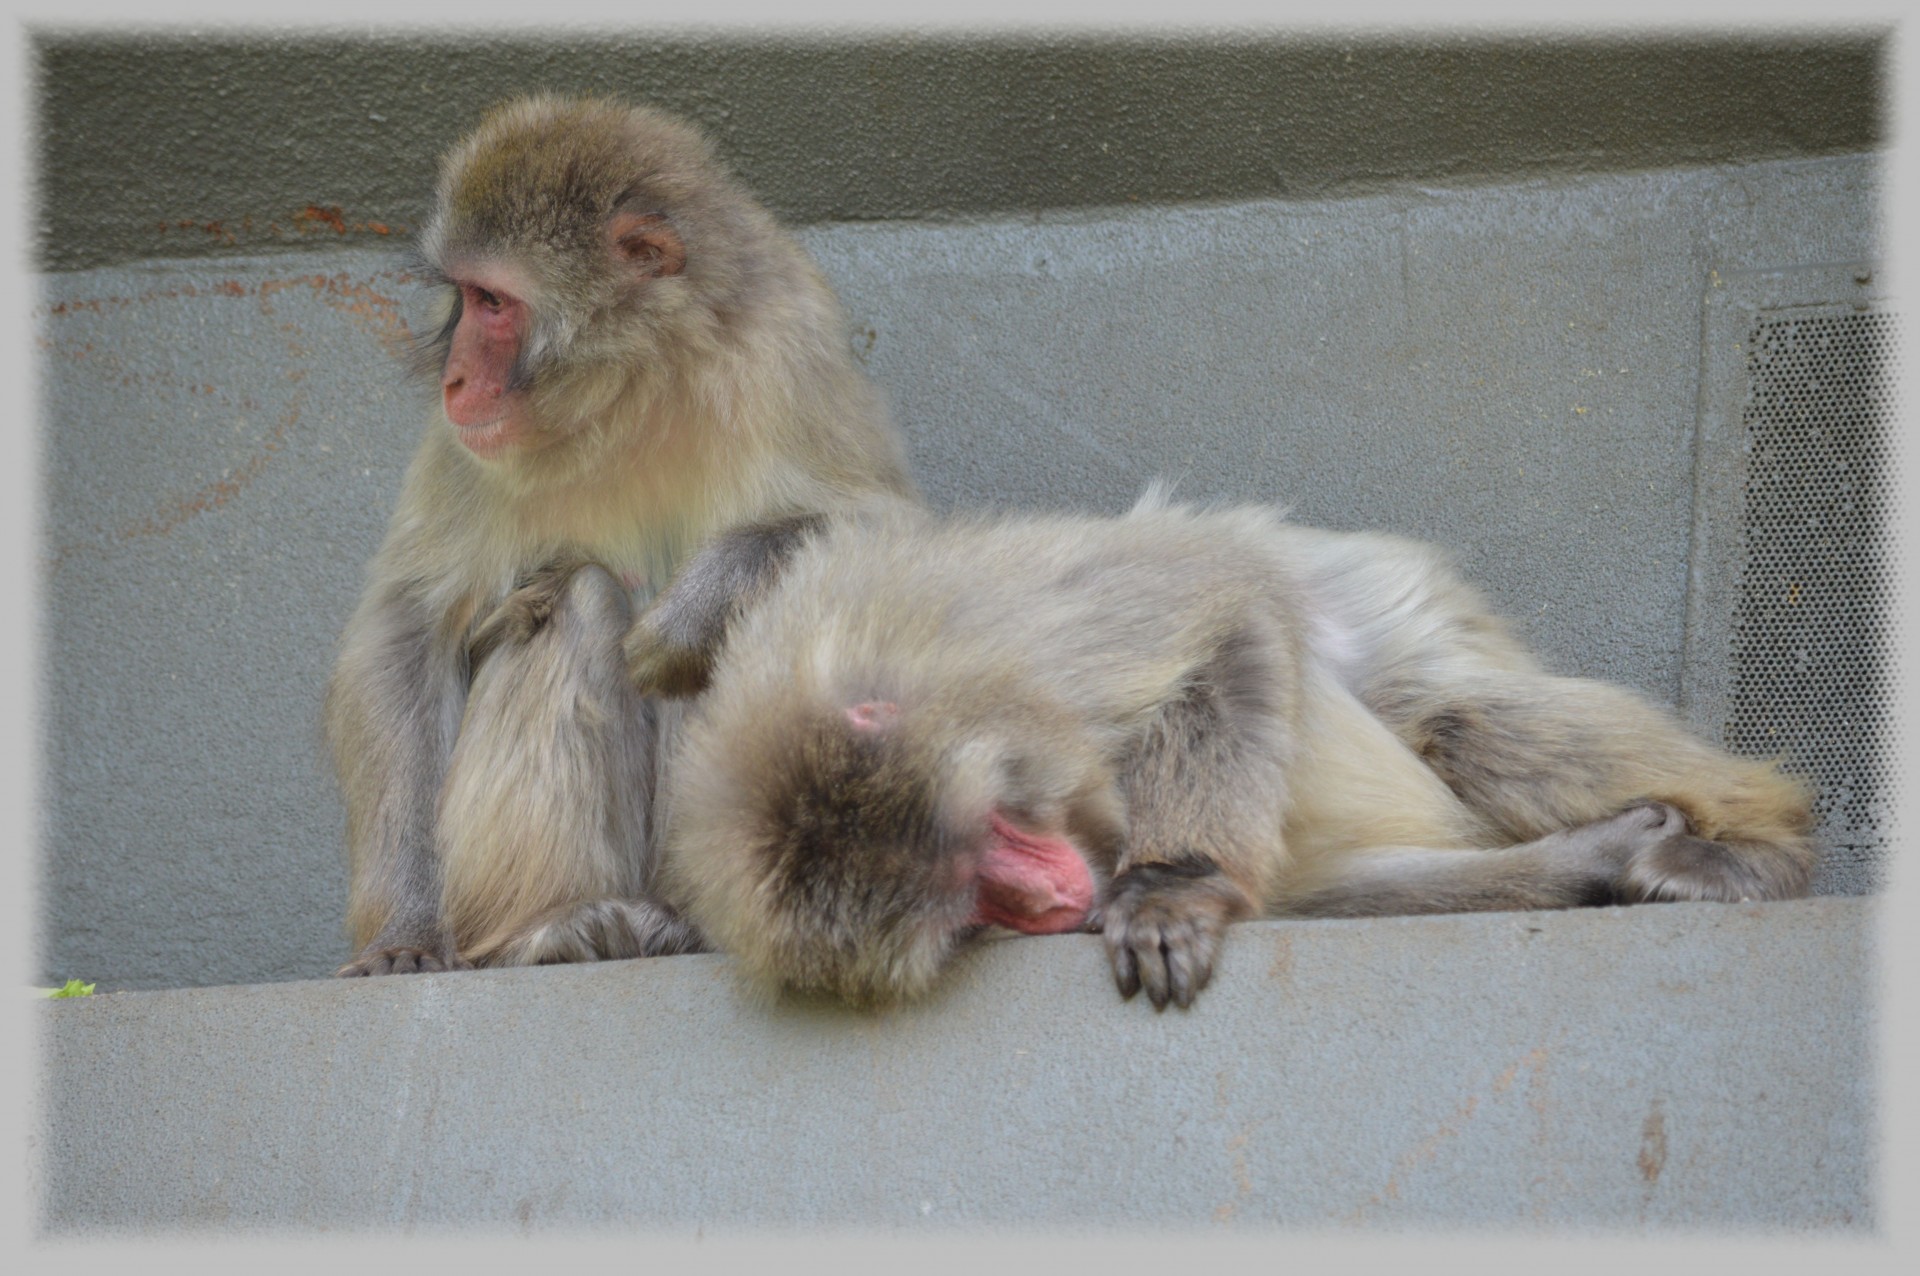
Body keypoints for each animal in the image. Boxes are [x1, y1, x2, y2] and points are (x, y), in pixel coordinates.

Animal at [487, 495, 1804, 1005]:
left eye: (996, 842)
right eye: (977, 902)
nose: (1046, 897)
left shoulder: (1025, 651)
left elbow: (1219, 610)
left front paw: (1173, 885)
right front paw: (1589, 865)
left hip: (1389, 600)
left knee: (1446, 707)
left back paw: (1765, 842)